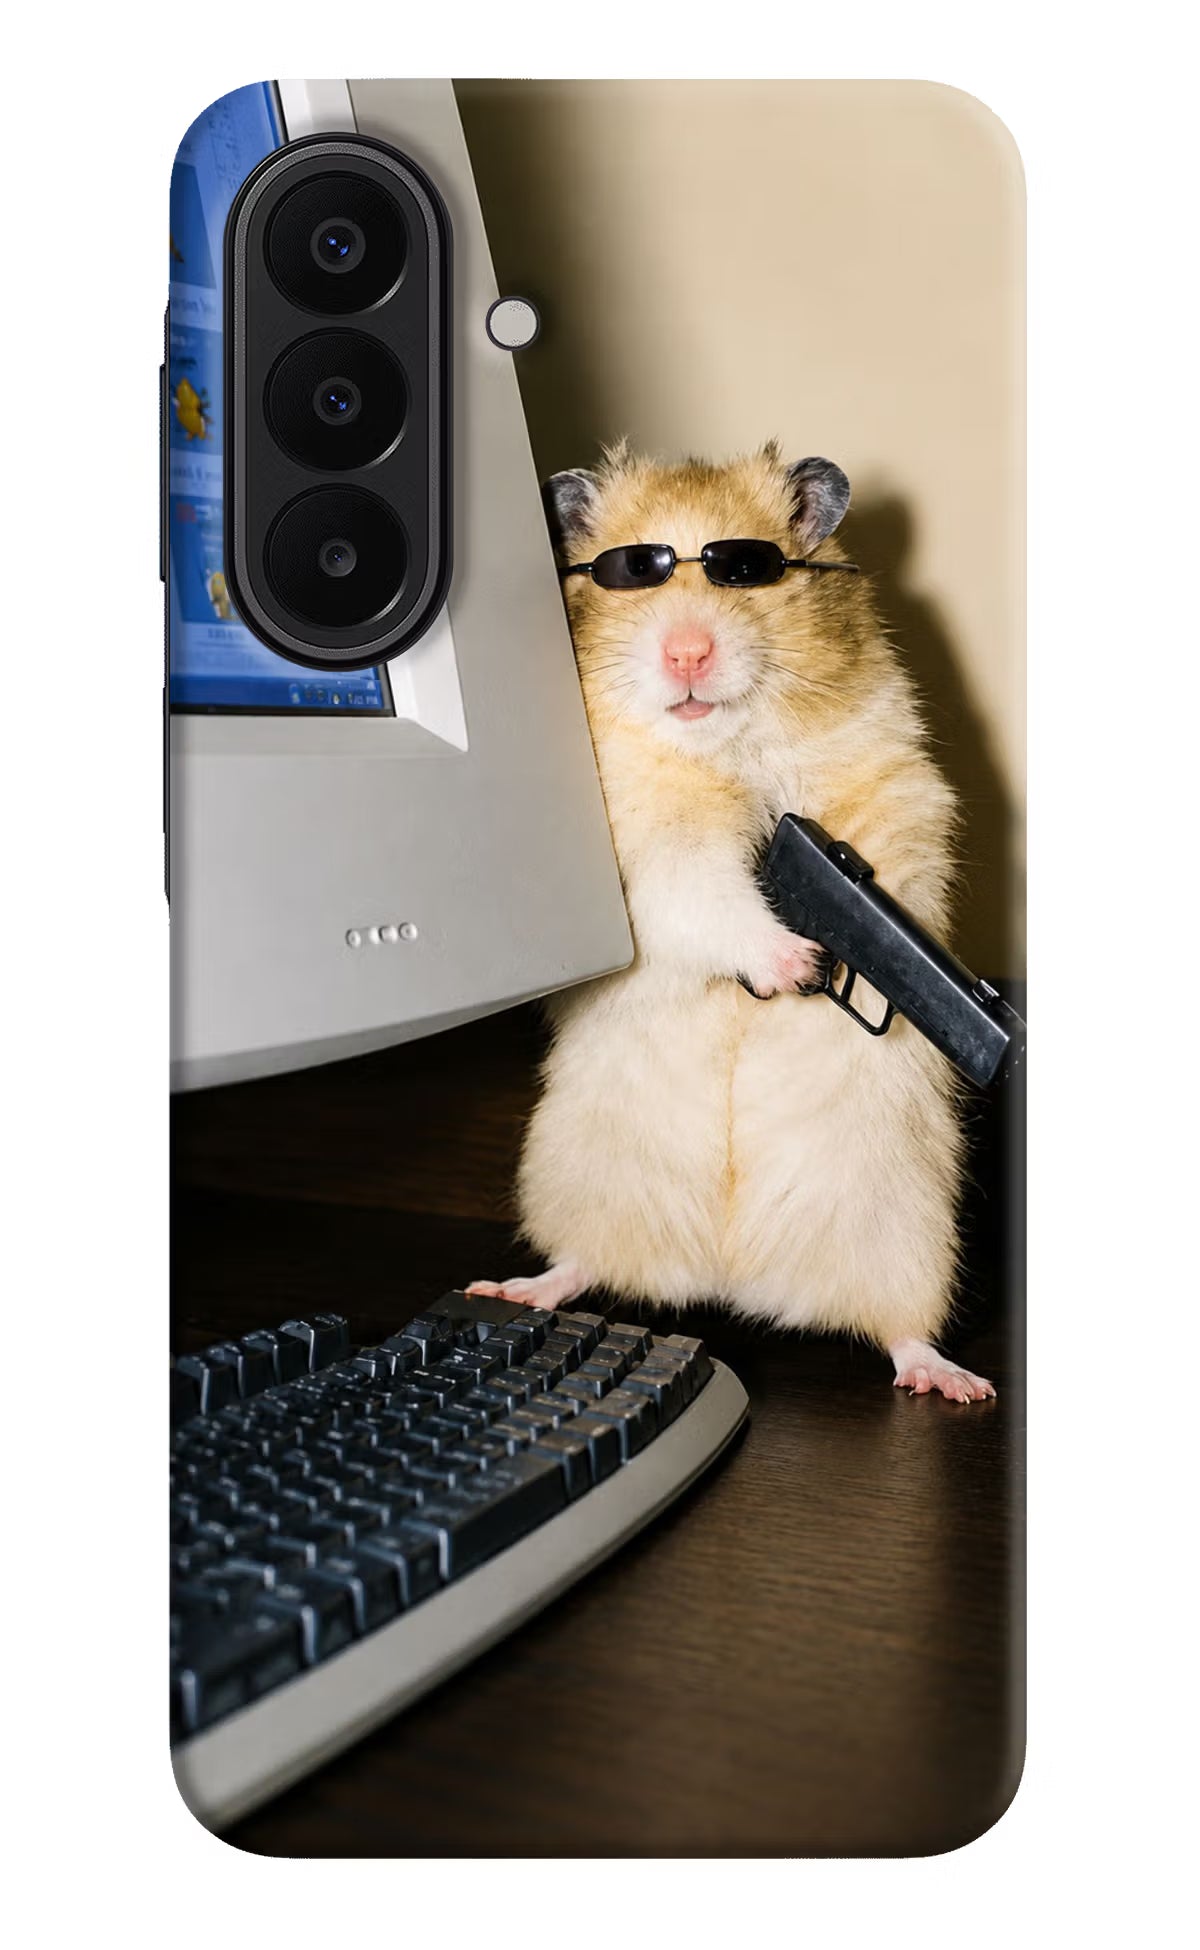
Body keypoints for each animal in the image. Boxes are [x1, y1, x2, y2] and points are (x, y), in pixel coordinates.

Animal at [468, 442, 993, 1402]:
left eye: (746, 570)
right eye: (633, 572)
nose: (686, 653)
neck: (724, 746)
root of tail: (730, 1276)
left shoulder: (895, 789)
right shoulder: (648, 853)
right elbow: (707, 896)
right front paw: (796, 964)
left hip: (907, 1228)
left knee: (900, 1329)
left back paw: (954, 1382)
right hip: (579, 1176)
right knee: (582, 1263)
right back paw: (515, 1288)